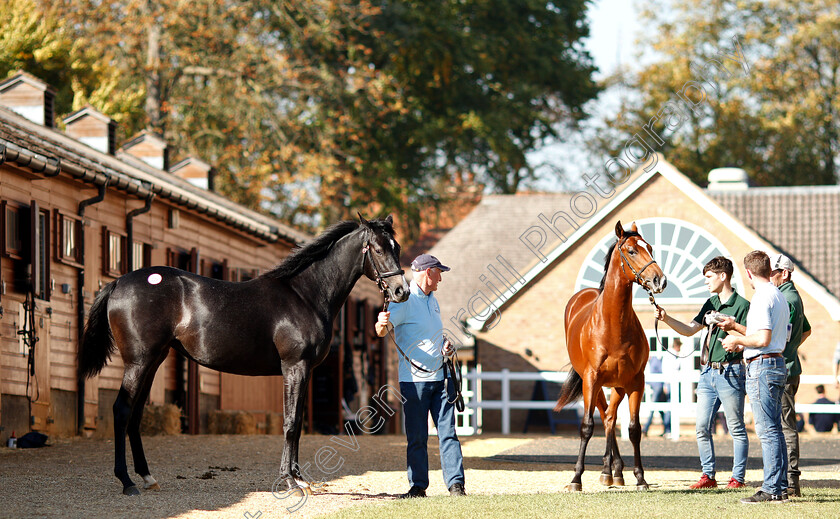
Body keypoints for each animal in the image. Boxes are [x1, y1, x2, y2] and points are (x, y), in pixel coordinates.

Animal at [79, 214, 410, 496]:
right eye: (378, 249)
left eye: (397, 247)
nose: (401, 291)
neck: (305, 295)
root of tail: (118, 283)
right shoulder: (294, 366)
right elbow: (290, 424)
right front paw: (289, 482)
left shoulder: (306, 371)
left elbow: (299, 424)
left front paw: (300, 479)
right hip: (138, 361)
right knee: (121, 410)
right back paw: (127, 482)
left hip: (154, 360)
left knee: (135, 414)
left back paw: (147, 477)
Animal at [556, 221, 668, 494]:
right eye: (631, 251)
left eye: (650, 247)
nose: (659, 280)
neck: (613, 324)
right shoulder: (591, 379)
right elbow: (587, 427)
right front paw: (576, 479)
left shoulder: (636, 382)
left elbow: (634, 429)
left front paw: (640, 479)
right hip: (595, 387)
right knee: (603, 416)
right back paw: (608, 471)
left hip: (617, 385)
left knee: (609, 418)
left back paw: (612, 471)